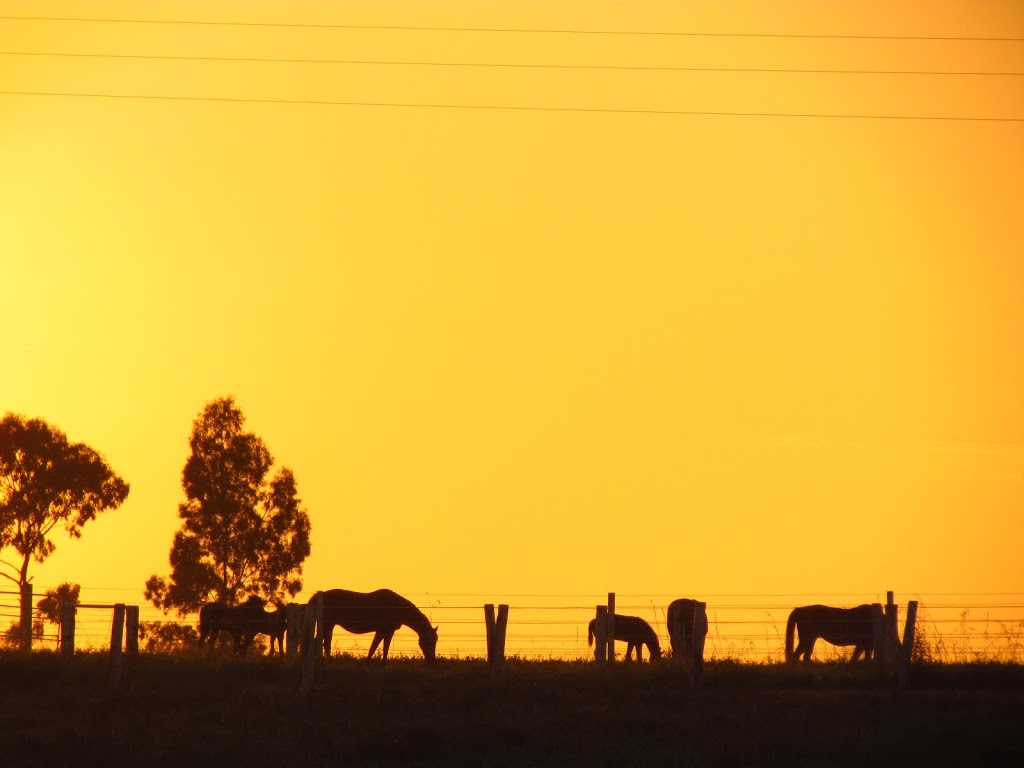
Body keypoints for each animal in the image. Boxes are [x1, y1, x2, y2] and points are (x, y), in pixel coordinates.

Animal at [311, 589, 440, 663]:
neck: (397, 607)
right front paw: (376, 663)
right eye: (429, 641)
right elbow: (380, 648)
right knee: (324, 642)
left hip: (329, 625)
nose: (432, 661)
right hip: (328, 624)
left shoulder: (383, 631)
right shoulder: (386, 631)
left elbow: (378, 647)